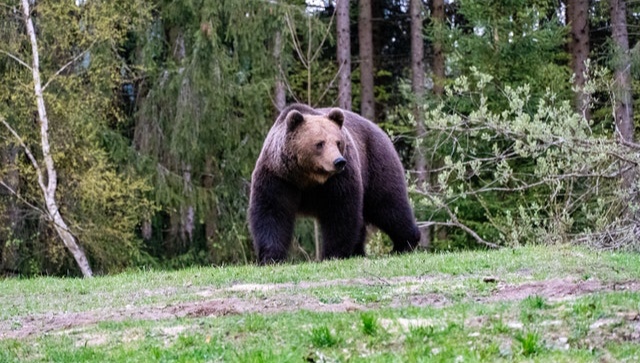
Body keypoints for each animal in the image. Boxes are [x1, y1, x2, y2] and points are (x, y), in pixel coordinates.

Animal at [249, 104, 420, 264]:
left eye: (338, 142)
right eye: (320, 143)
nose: (338, 161)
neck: (307, 177)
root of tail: (379, 129)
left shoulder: (339, 179)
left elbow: (340, 212)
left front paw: (333, 254)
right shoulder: (279, 177)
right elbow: (272, 212)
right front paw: (270, 257)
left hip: (375, 164)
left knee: (388, 206)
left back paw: (404, 244)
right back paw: (359, 251)